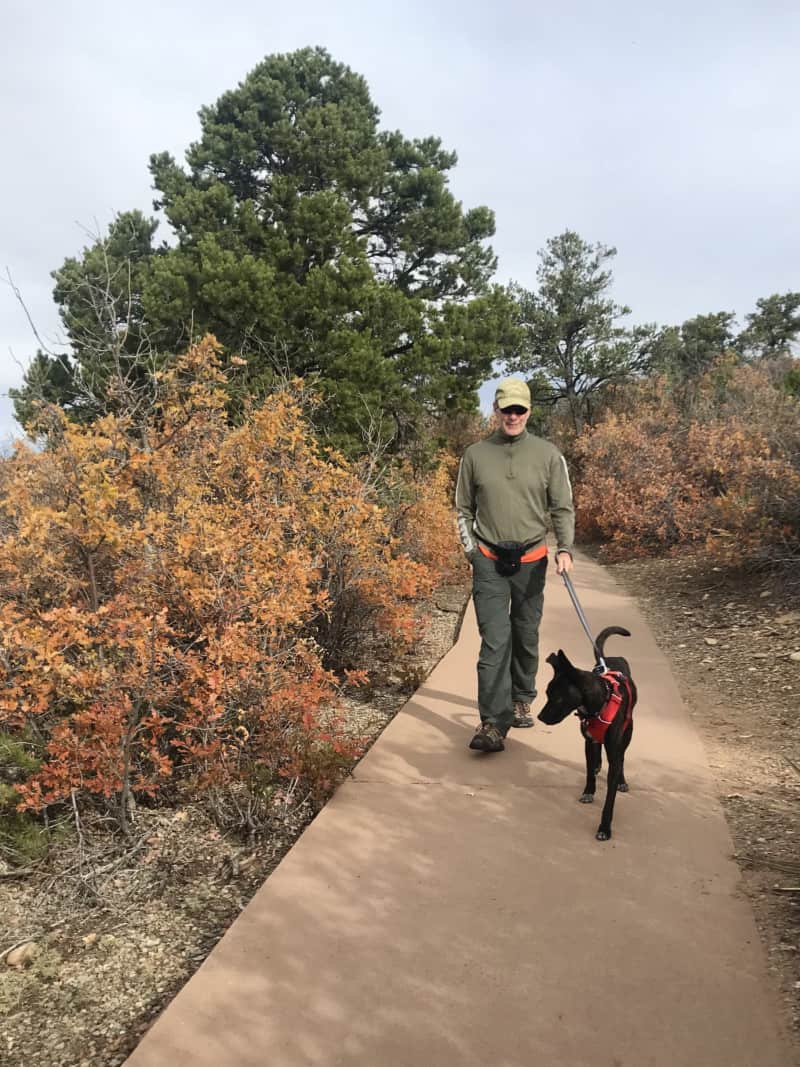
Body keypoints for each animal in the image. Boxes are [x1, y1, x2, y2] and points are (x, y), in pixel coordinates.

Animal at [539, 623, 640, 840]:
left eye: (557, 697)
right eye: (546, 694)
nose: (540, 717)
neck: (600, 704)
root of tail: (609, 659)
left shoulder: (613, 749)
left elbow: (610, 797)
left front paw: (604, 828)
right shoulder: (588, 740)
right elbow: (589, 769)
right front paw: (589, 790)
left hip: (628, 731)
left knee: (622, 756)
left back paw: (622, 779)